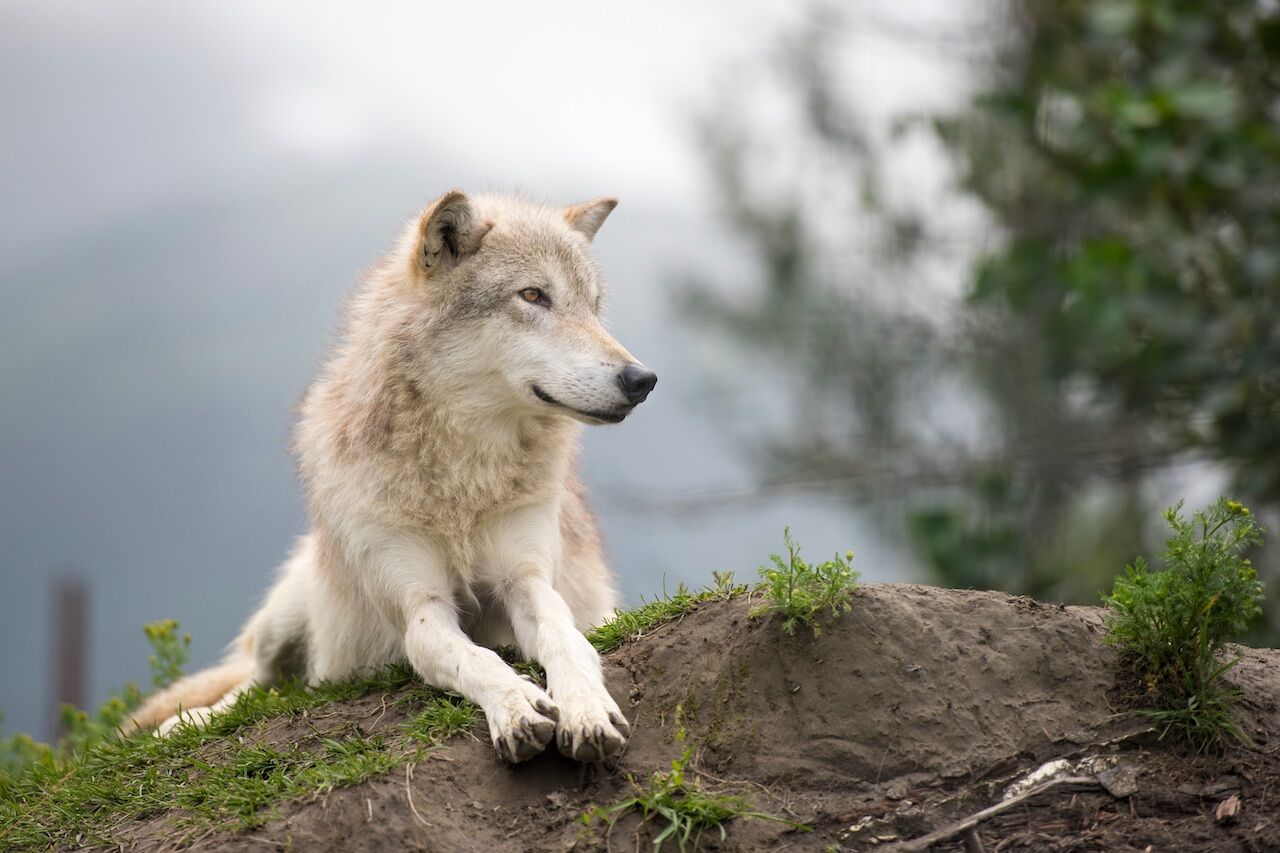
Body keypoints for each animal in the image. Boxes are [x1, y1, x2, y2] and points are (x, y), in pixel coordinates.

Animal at [126, 189, 660, 758]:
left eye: (593, 307)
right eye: (533, 295)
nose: (642, 380)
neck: (463, 474)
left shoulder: (528, 579)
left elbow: (566, 638)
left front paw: (586, 710)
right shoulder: (420, 607)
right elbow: (478, 659)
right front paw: (516, 705)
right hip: (286, 615)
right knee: (252, 683)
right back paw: (185, 723)